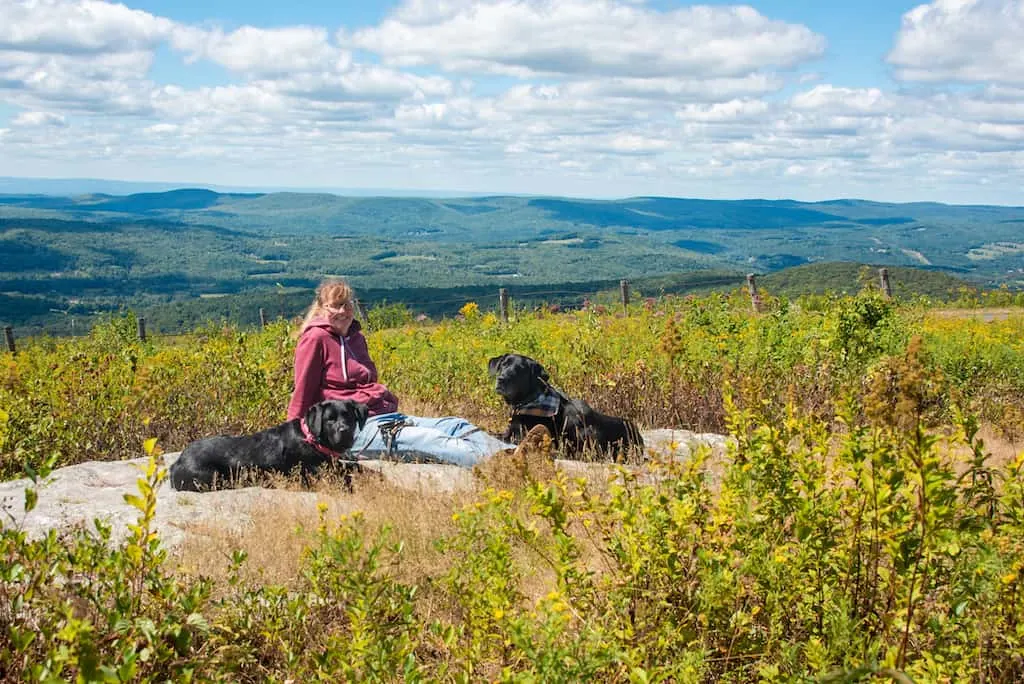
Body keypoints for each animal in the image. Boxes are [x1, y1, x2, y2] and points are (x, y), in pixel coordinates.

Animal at [169, 401, 370, 491]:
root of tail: (177, 462)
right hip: (212, 477)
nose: (344, 430)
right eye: (330, 420)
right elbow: (346, 478)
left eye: (349, 417)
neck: (311, 438)